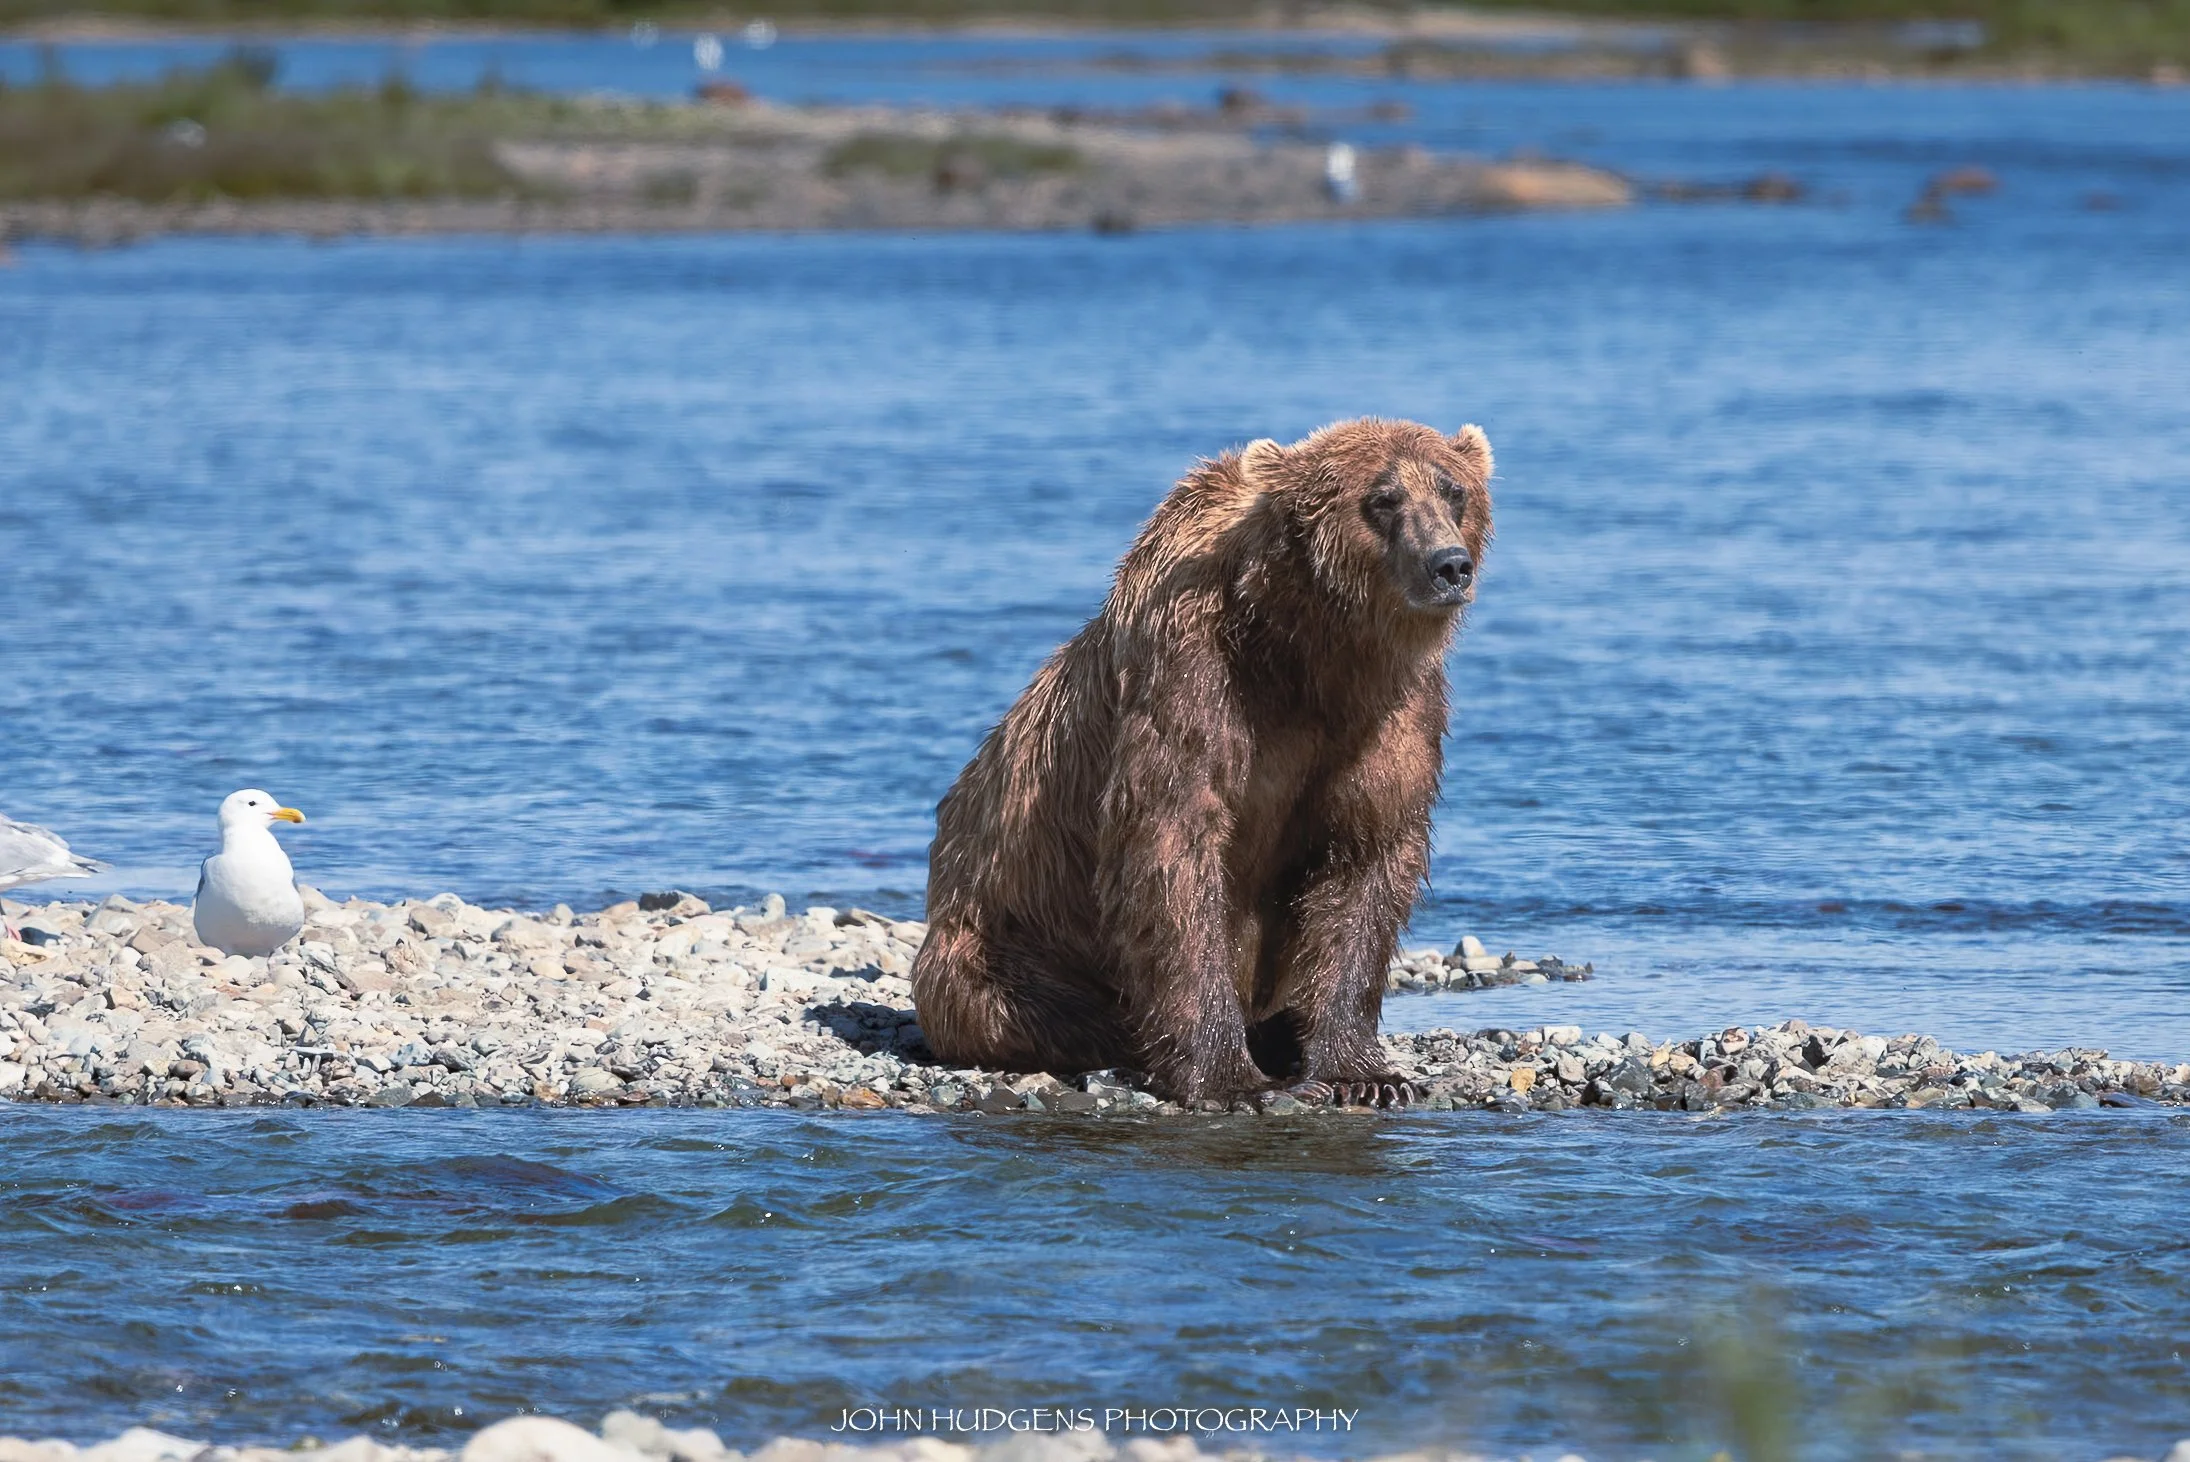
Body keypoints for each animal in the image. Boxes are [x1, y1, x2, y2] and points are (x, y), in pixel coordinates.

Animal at [910, 417, 1493, 1108]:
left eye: (1453, 491)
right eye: (1383, 499)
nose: (1448, 564)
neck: (1308, 649)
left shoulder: (1394, 709)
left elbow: (1365, 856)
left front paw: (1364, 1074)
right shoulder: (1192, 676)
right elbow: (1173, 849)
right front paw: (1230, 1080)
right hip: (1003, 942)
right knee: (1008, 1000)